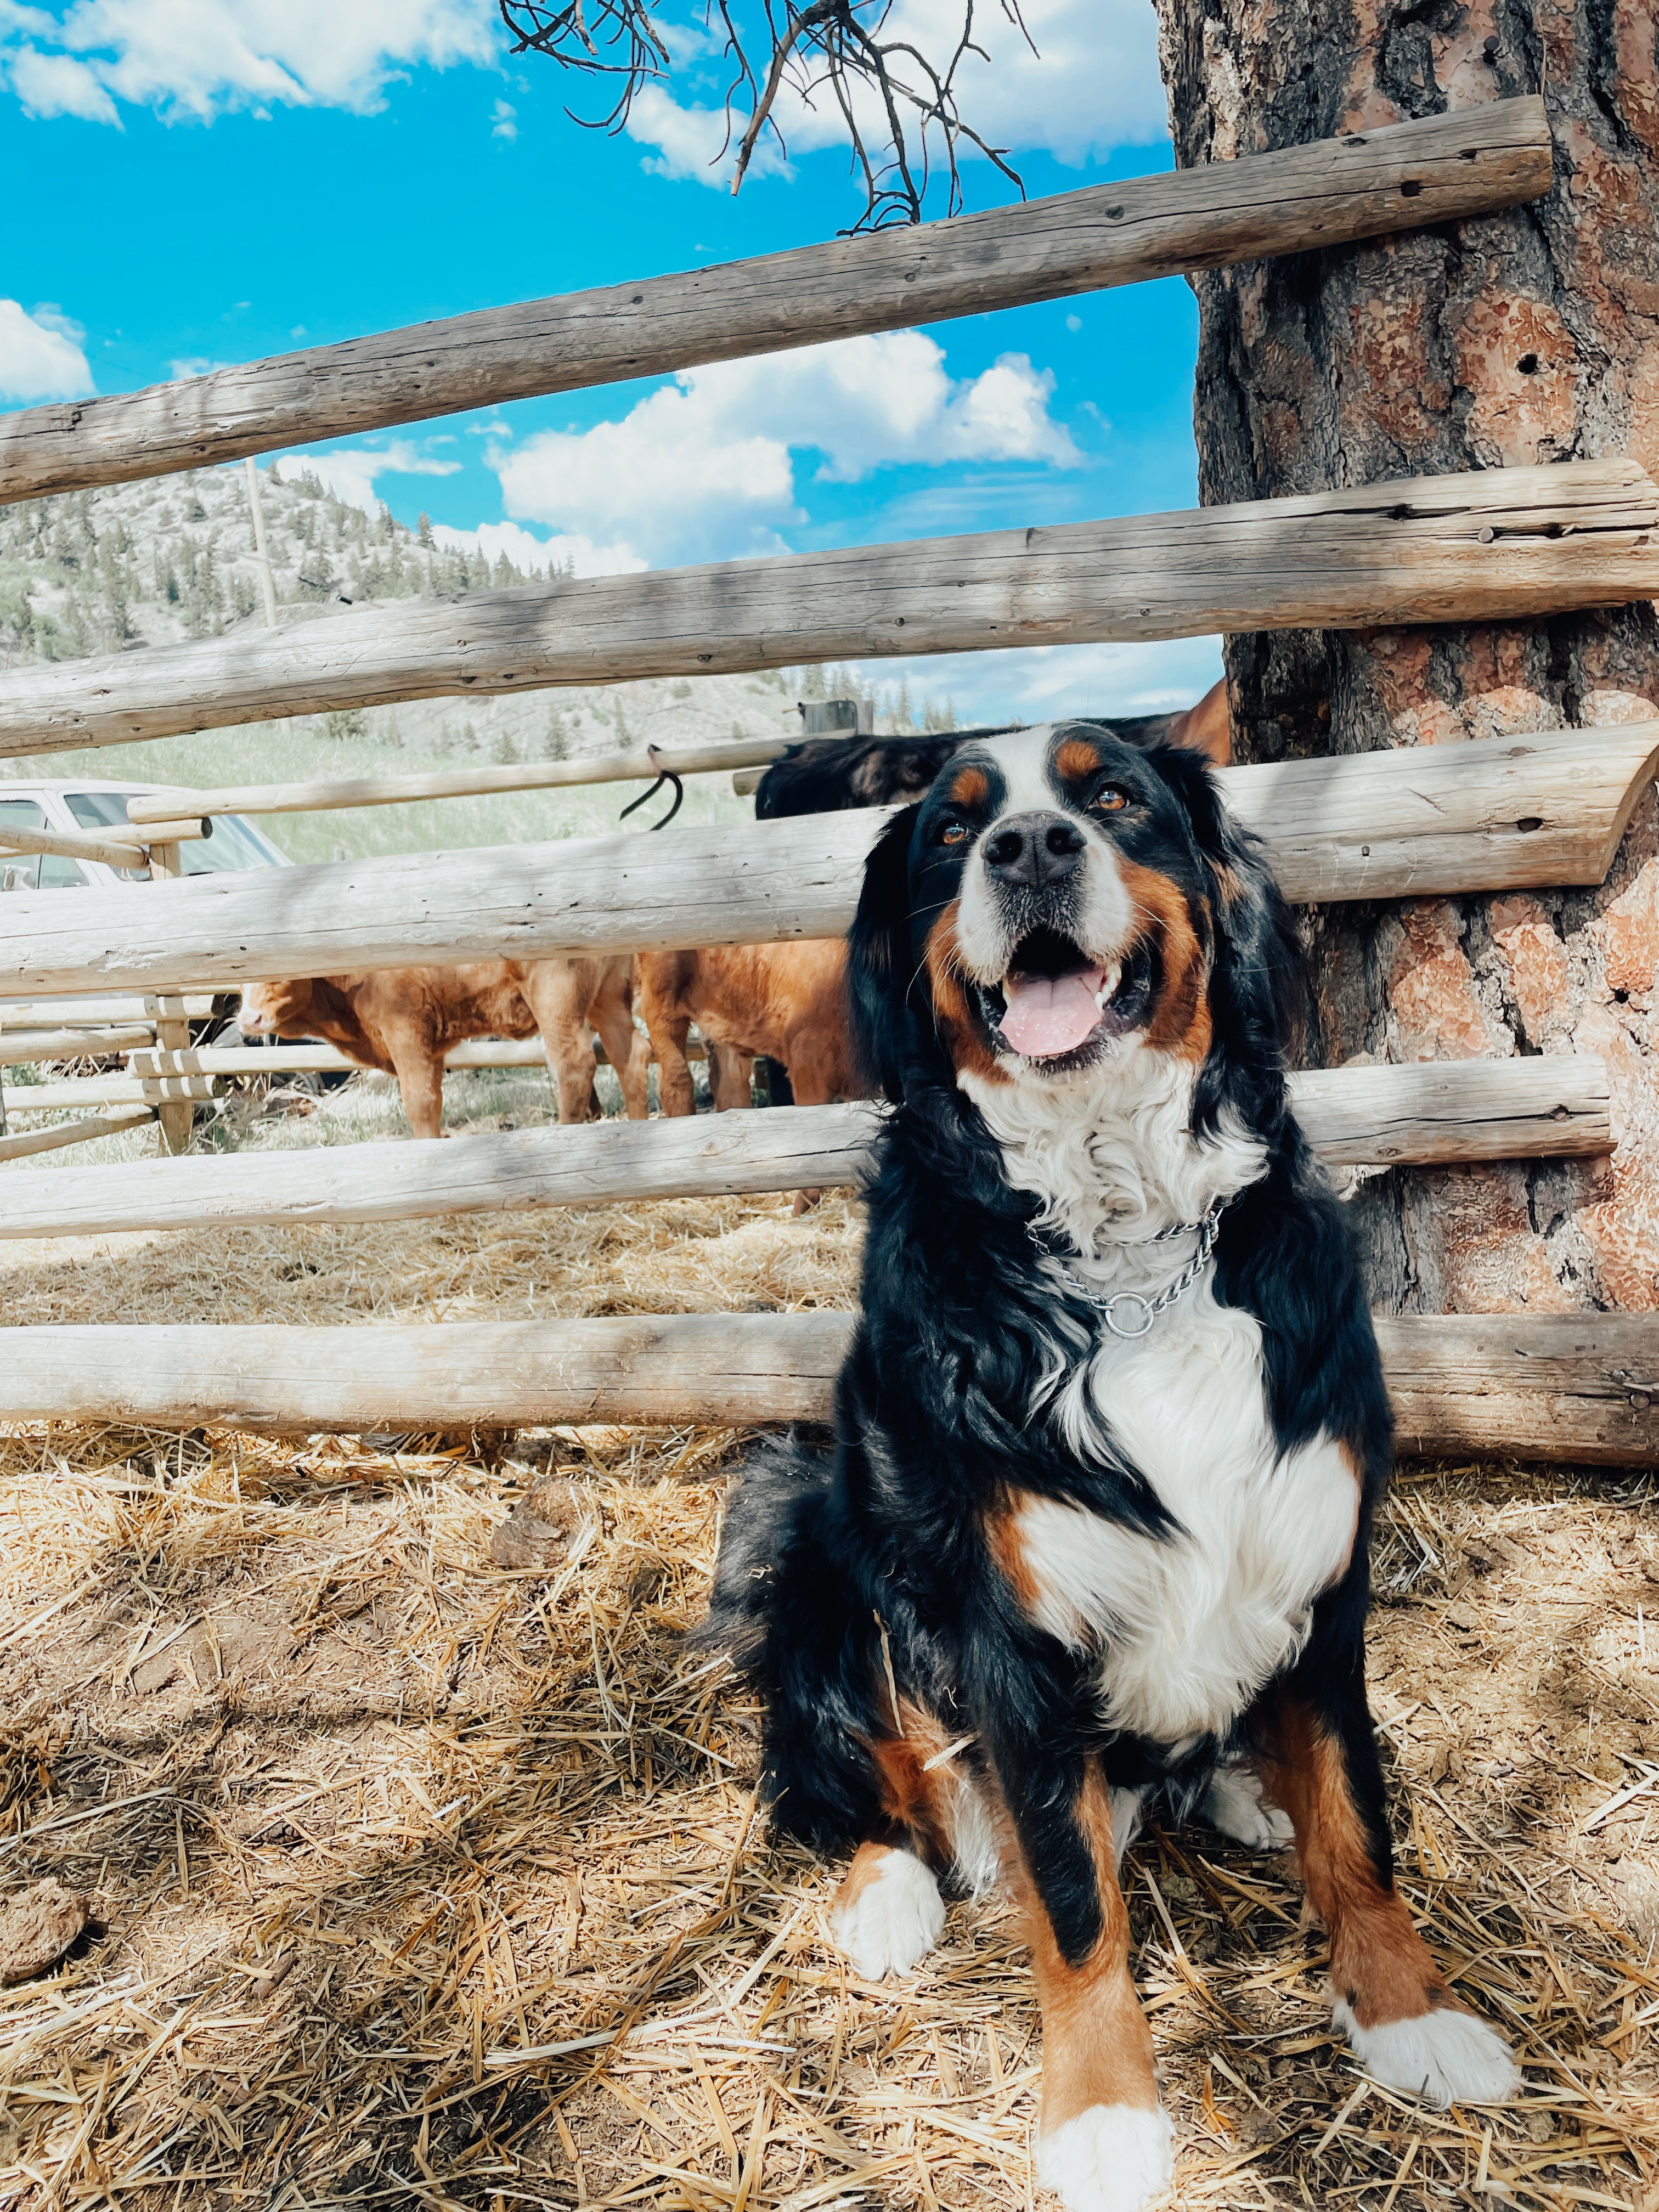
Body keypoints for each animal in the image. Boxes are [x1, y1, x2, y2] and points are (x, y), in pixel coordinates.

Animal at [243, 955, 654, 1141]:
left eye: (277, 973)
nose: (249, 1019)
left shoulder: (406, 1033)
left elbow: (419, 1101)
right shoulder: (431, 1050)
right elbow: (434, 1099)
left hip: (557, 1004)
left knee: (574, 1065)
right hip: (608, 1000)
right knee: (630, 1056)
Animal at [708, 716, 1531, 2203]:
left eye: (1117, 800)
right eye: (952, 829)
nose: (1030, 847)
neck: (1128, 1256)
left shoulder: (1323, 1565)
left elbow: (1358, 1817)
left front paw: (1412, 2012)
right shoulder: (1014, 1641)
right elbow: (1077, 1900)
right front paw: (1102, 2112)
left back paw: (1243, 1787)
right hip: (803, 1528)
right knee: (848, 1781)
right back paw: (887, 1895)